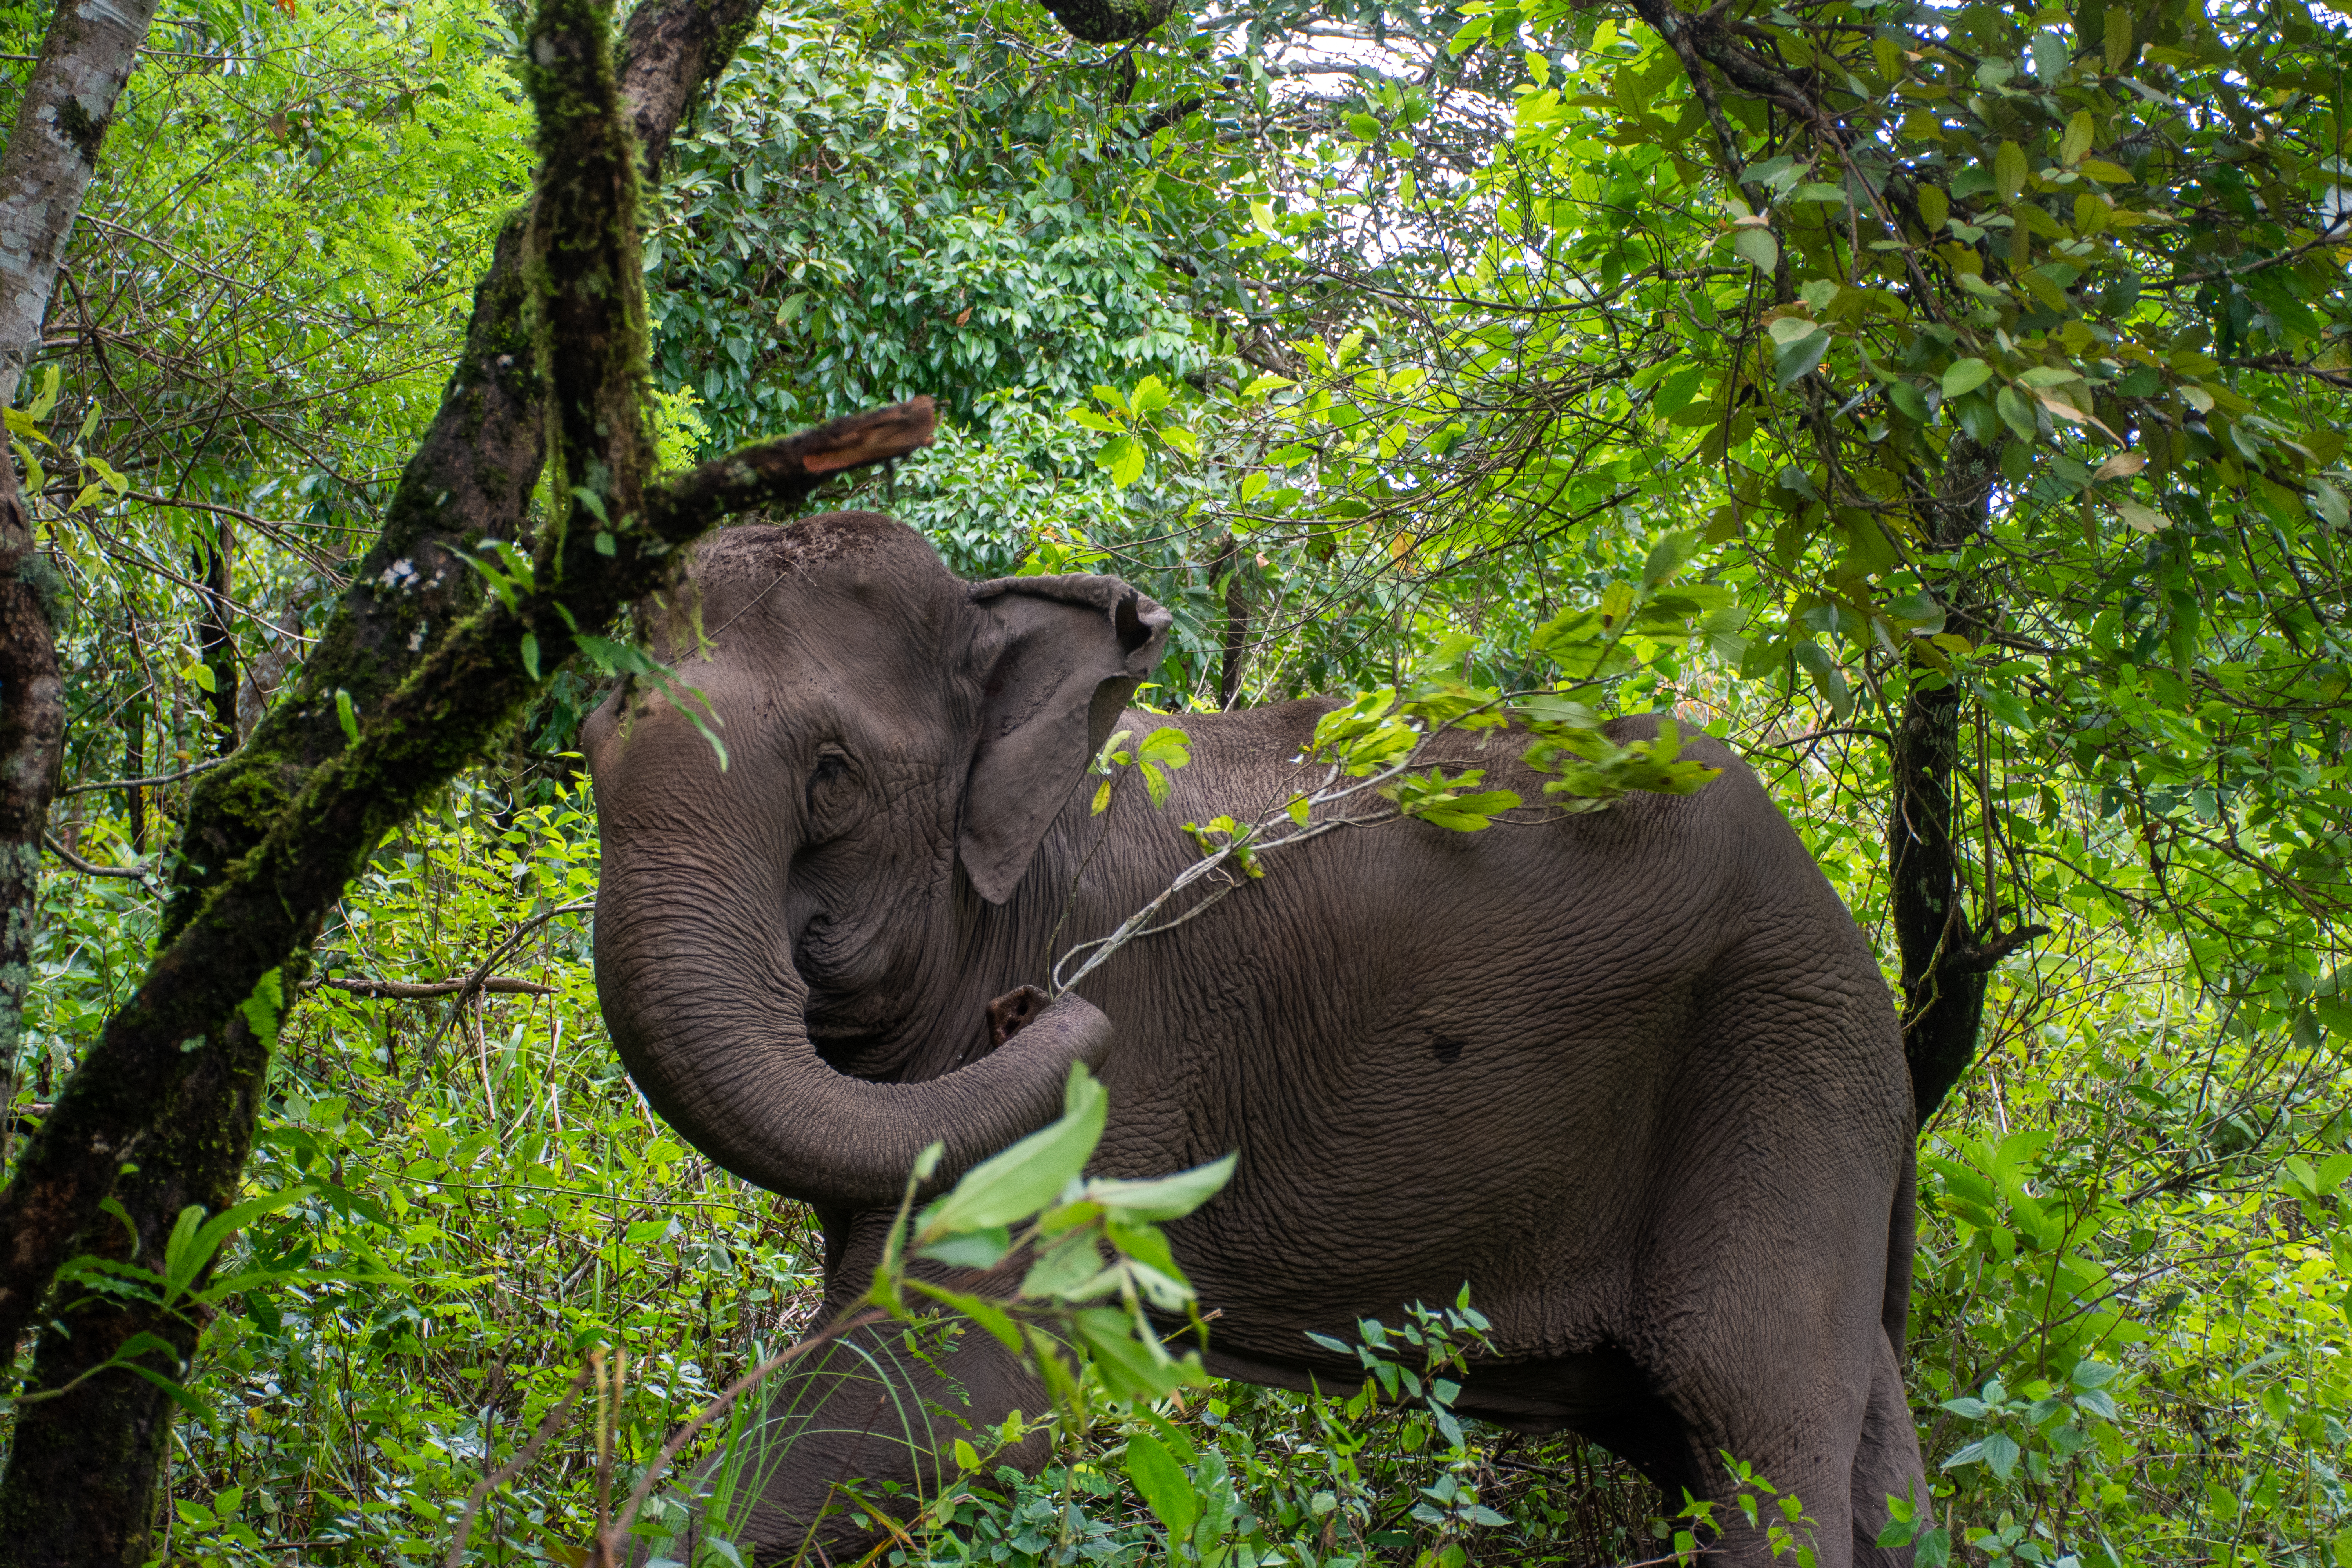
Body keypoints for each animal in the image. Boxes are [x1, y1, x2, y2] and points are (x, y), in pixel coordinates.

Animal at [583, 509, 1926, 1566]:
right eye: (590, 748)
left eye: (833, 779)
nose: (1047, 1007)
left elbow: (957, 1378)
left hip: (1780, 1055)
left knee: (1748, 1414)